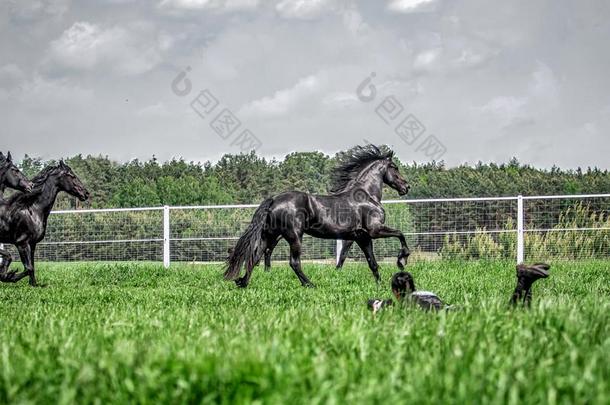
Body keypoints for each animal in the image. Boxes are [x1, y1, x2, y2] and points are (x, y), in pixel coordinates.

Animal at [223, 145, 408, 288]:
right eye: (394, 167)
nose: (406, 187)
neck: (366, 195)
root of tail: (274, 200)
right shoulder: (374, 231)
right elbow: (400, 234)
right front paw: (402, 261)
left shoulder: (362, 237)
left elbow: (372, 263)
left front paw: (380, 285)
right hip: (294, 237)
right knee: (293, 262)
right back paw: (310, 284)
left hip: (270, 235)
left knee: (254, 257)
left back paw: (242, 283)